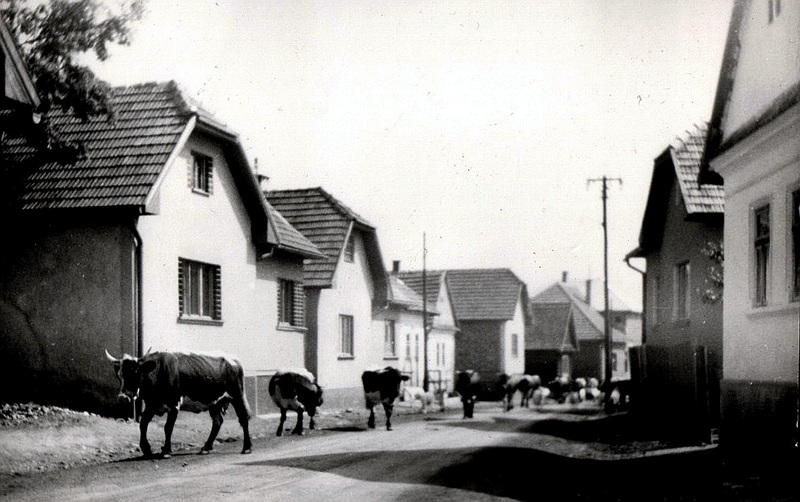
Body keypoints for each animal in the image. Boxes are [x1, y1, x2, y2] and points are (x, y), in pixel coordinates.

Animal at [104, 350, 252, 458]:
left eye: (135, 372)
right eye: (119, 375)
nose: (123, 398)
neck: (158, 372)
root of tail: (234, 359)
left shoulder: (174, 404)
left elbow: (168, 427)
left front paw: (166, 451)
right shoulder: (151, 405)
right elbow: (143, 424)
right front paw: (146, 449)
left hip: (237, 395)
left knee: (243, 419)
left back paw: (247, 448)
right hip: (214, 402)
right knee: (217, 422)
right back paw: (206, 447)